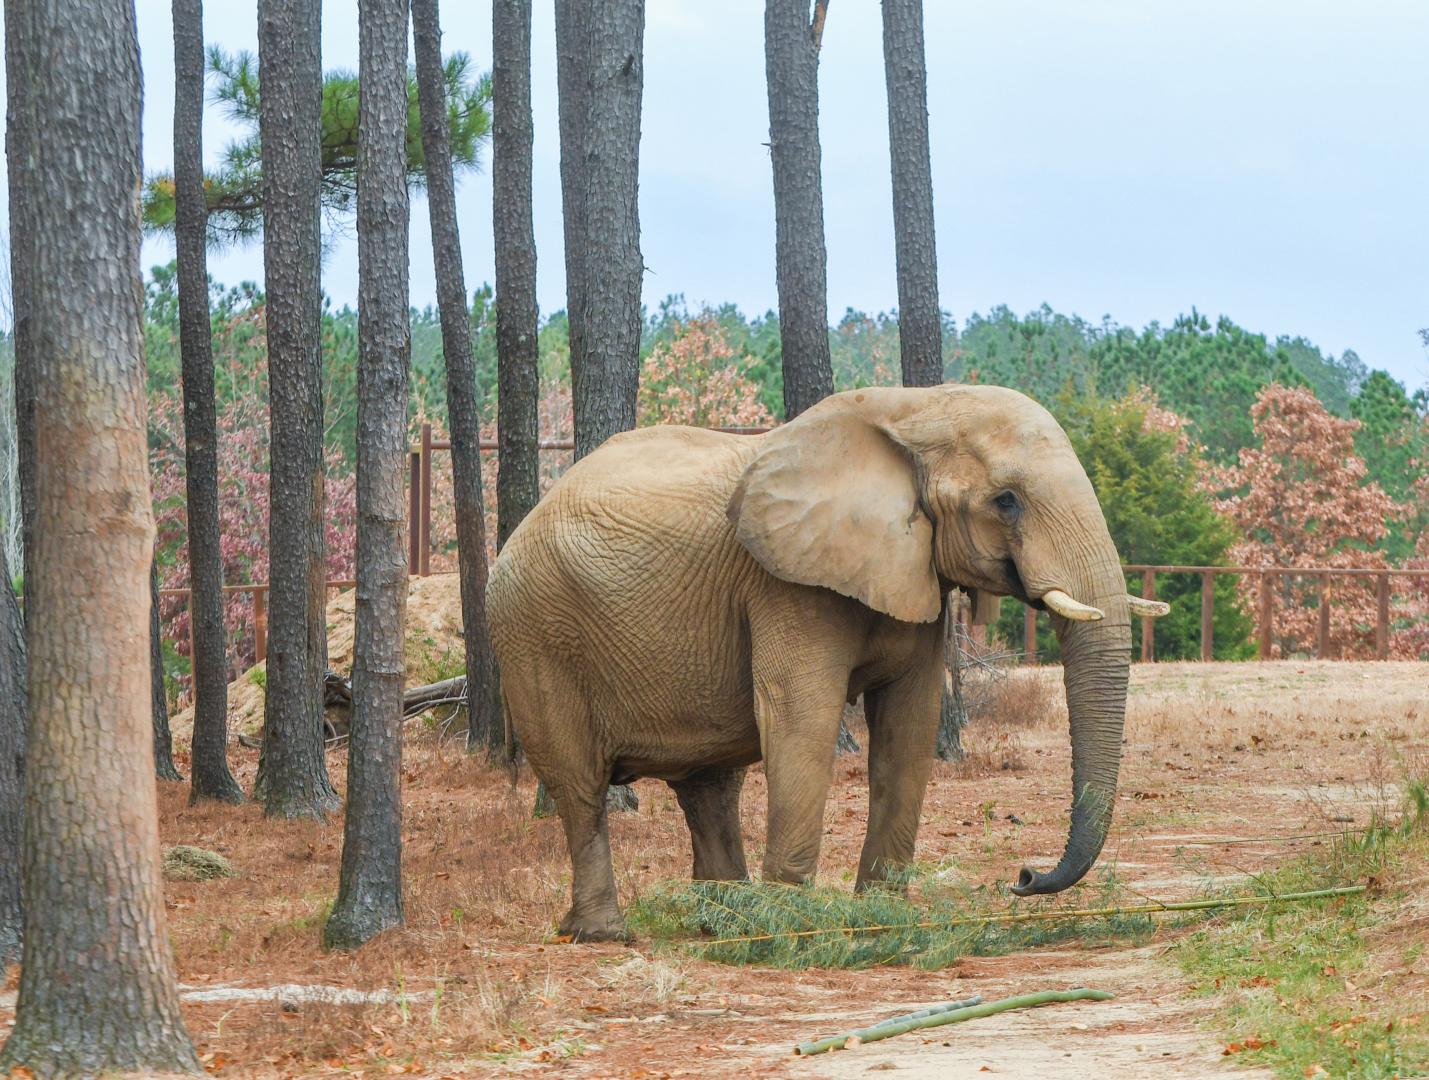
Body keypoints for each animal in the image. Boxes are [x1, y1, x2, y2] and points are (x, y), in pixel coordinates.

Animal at [487, 384, 1168, 941]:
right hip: (535, 632)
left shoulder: (913, 571)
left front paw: (882, 916)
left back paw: (722, 921)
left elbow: (909, 724)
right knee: (581, 787)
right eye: (1006, 501)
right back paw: (608, 933)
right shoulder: (784, 584)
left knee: (710, 787)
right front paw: (793, 924)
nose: (1023, 876)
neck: (914, 406)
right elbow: (801, 718)